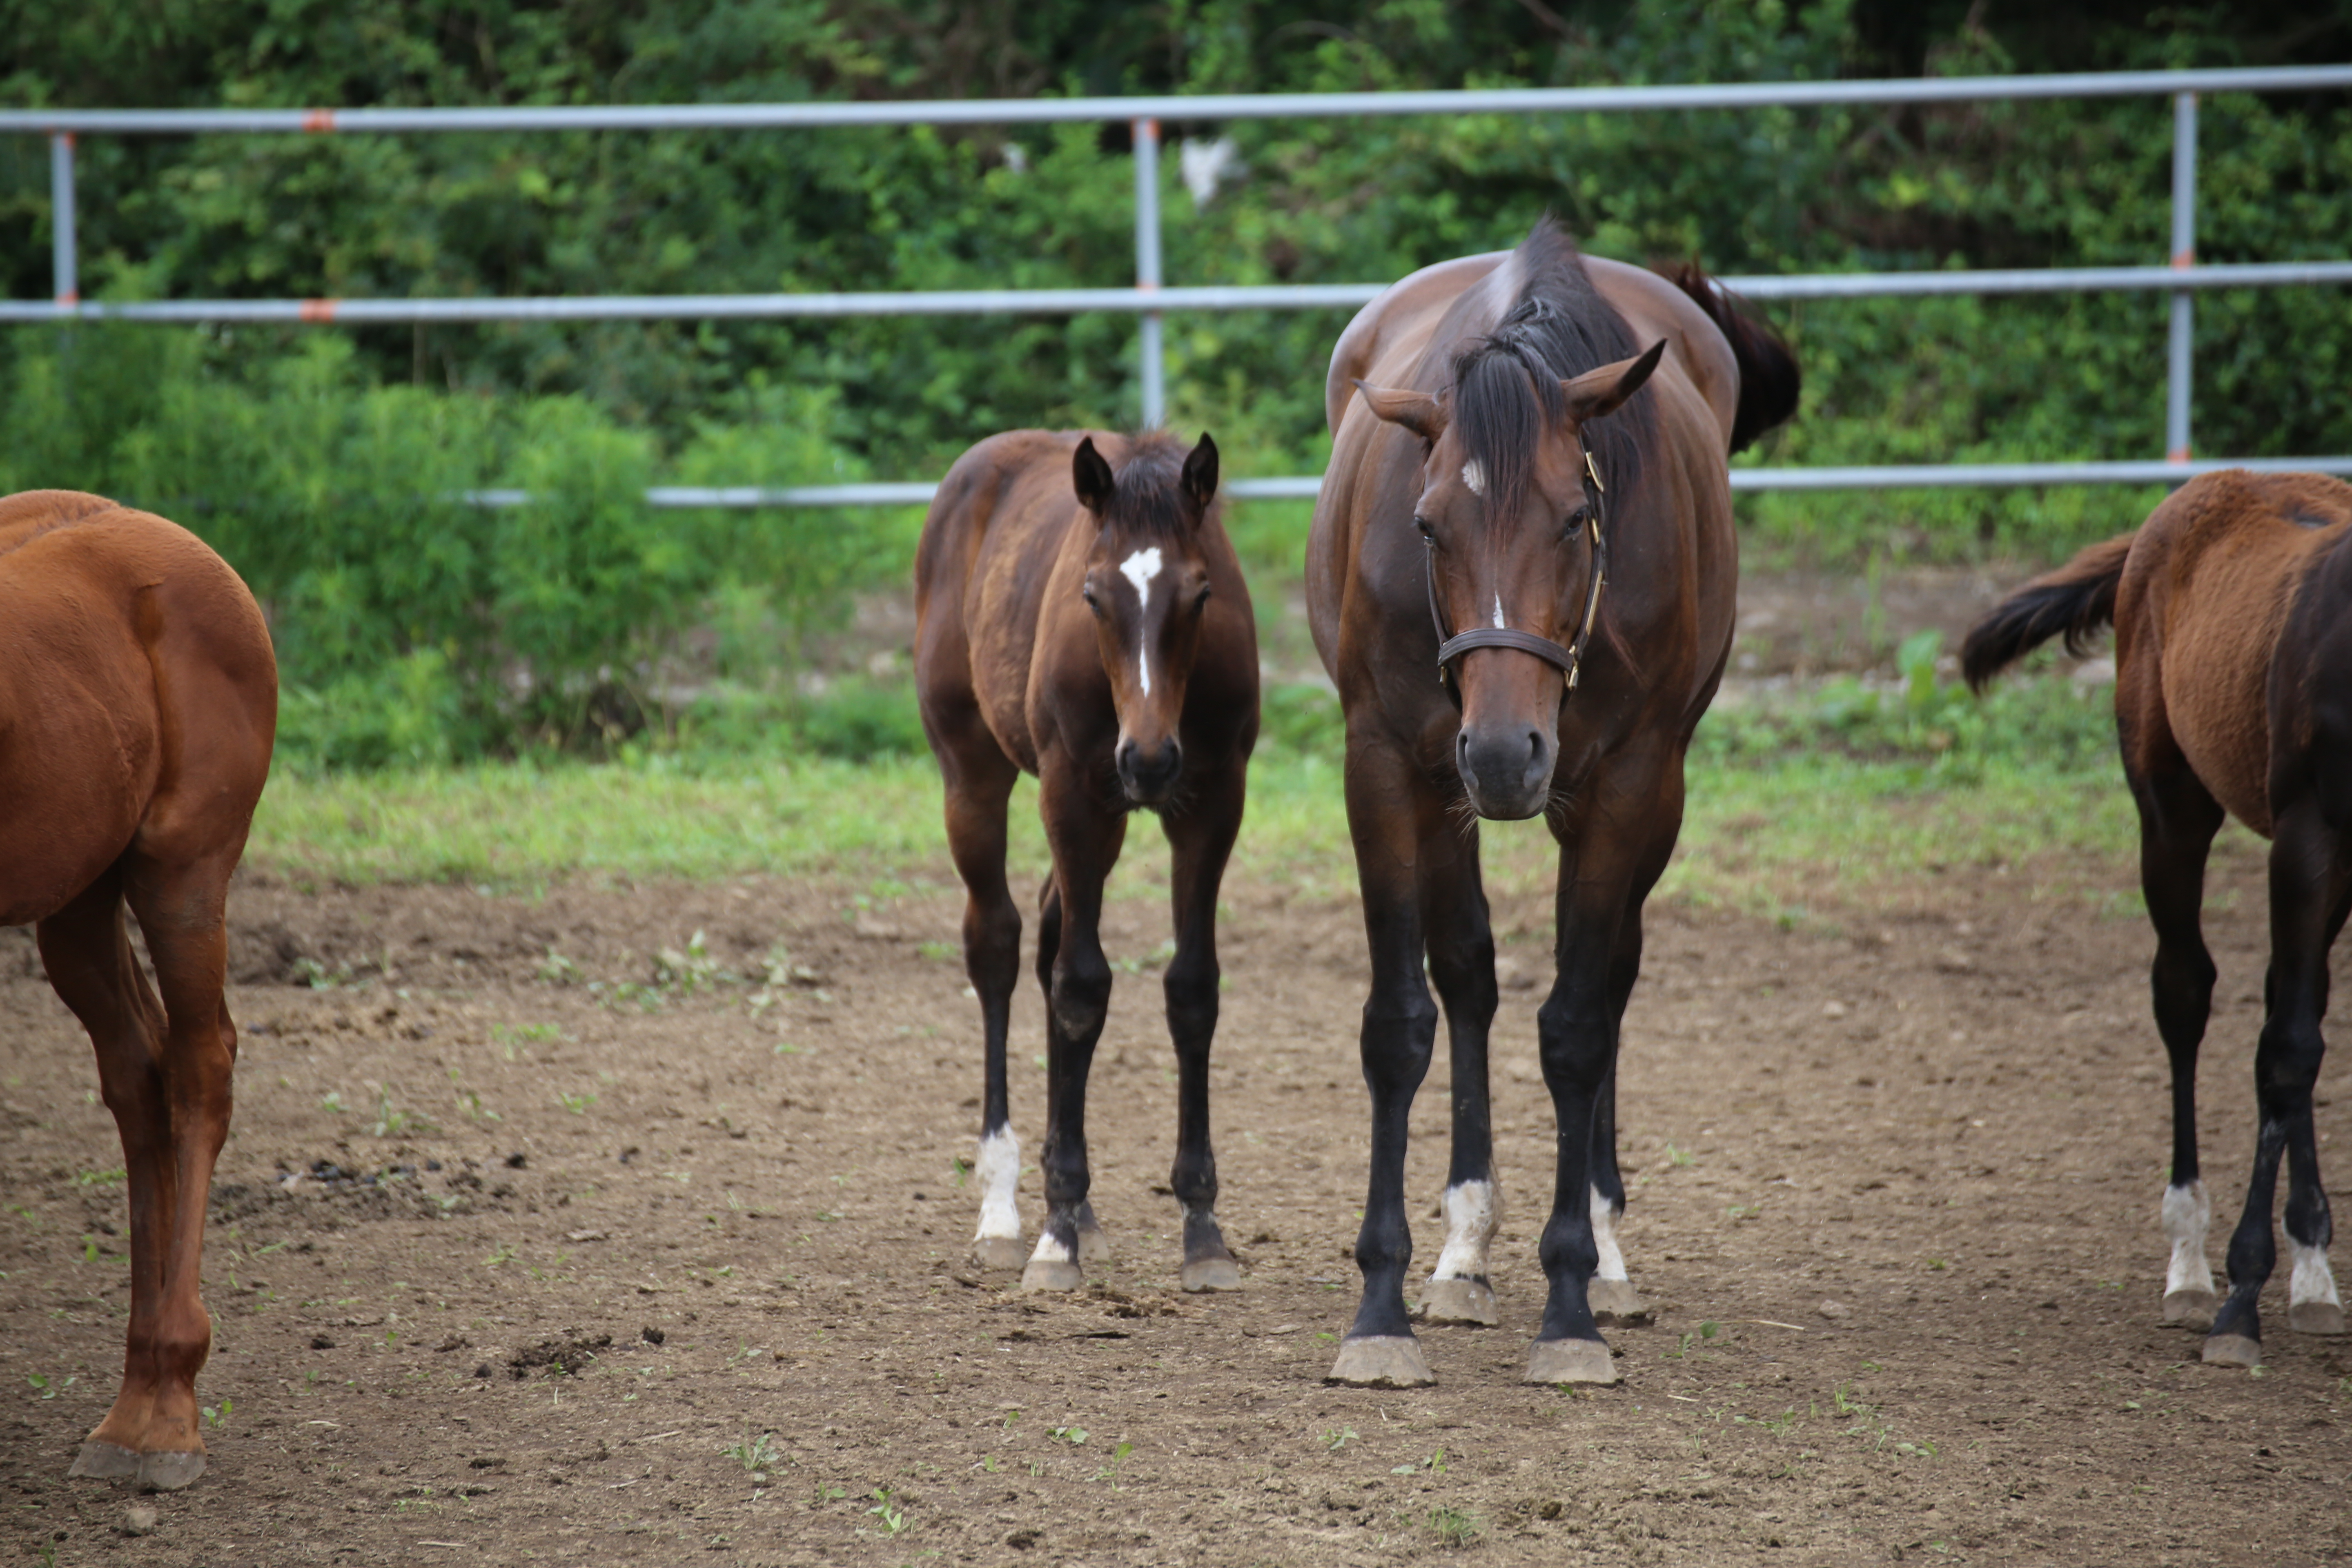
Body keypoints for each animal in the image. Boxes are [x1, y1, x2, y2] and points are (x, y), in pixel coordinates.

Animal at [1, 486, 277, 1486]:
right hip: (78, 897)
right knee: (139, 1079)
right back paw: (135, 1392)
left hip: (181, 876)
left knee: (197, 1070)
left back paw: (163, 1408)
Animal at [908, 432, 1261, 1297]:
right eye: (1094, 596)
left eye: (1201, 593)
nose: (1149, 758)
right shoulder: (1072, 794)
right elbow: (1081, 989)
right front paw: (1055, 1234)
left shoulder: (1212, 804)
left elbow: (1190, 991)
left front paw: (1202, 1229)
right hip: (976, 778)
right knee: (998, 945)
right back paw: (1004, 1208)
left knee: (1046, 931)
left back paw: (1079, 1212)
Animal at [1307, 223, 1797, 1382]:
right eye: (1427, 526)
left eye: (1576, 518)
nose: (1500, 753)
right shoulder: (1385, 768)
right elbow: (1401, 1024)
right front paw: (1382, 1305)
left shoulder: (1630, 783)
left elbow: (1576, 1025)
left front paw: (1572, 1300)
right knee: (1470, 979)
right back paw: (1463, 1252)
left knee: (1608, 981)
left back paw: (1606, 1254)